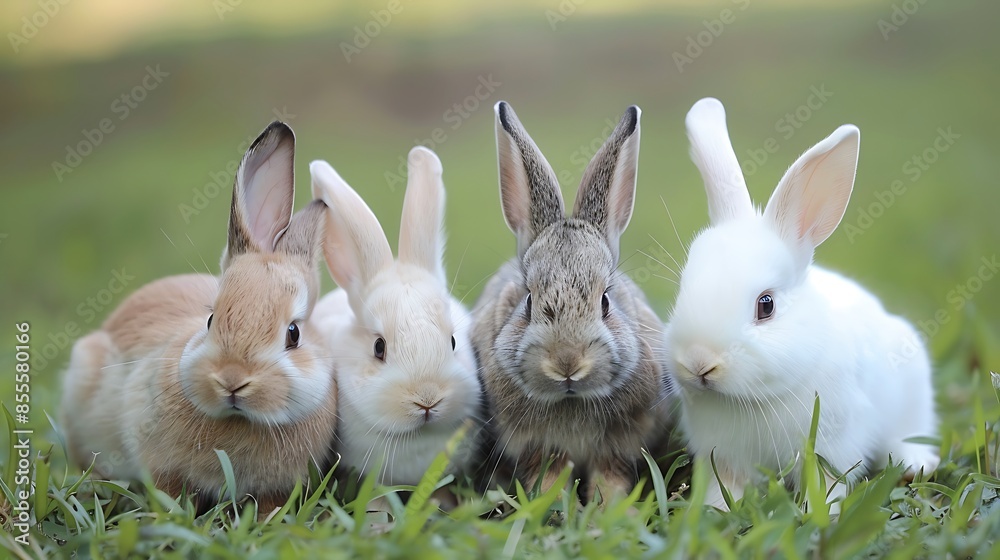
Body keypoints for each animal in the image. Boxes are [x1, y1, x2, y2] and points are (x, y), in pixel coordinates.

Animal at [471, 101, 671, 503]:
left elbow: (610, 480)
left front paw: (609, 510)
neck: (571, 400)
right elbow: (549, 480)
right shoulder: (538, 447)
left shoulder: (618, 446)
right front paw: (556, 508)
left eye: (606, 301)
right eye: (528, 301)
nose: (566, 363)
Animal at [665, 97, 940, 510]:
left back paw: (917, 464)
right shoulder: (724, 457)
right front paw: (714, 509)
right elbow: (725, 485)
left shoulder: (835, 444)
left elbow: (828, 482)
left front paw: (823, 512)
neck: (753, 400)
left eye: (766, 305)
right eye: (682, 289)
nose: (699, 363)